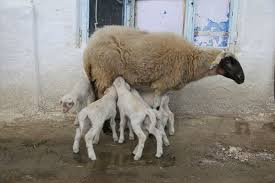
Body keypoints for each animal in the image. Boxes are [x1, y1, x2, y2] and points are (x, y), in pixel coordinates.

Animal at [83, 25, 246, 106]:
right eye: (228, 61)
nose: (242, 78)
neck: (191, 59)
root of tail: (90, 45)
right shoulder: (162, 84)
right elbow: (156, 106)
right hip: (104, 72)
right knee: (101, 97)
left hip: (97, 74)